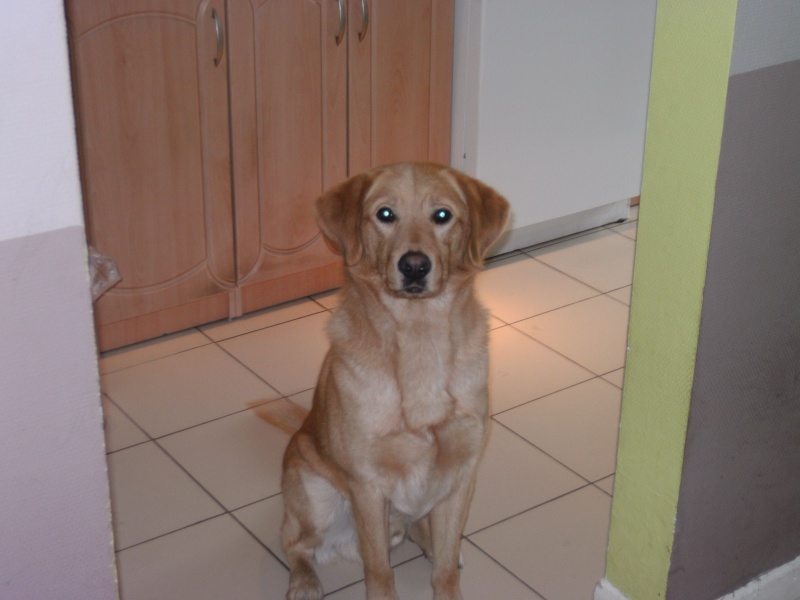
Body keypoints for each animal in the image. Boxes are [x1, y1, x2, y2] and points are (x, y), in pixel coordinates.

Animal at [278, 162, 510, 596]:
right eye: (385, 214)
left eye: (442, 215)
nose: (415, 265)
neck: (419, 335)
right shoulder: (367, 485)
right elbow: (379, 570)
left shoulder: (461, 474)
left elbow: (445, 572)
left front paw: (447, 575)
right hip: (314, 493)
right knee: (295, 542)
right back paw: (303, 582)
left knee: (424, 531)